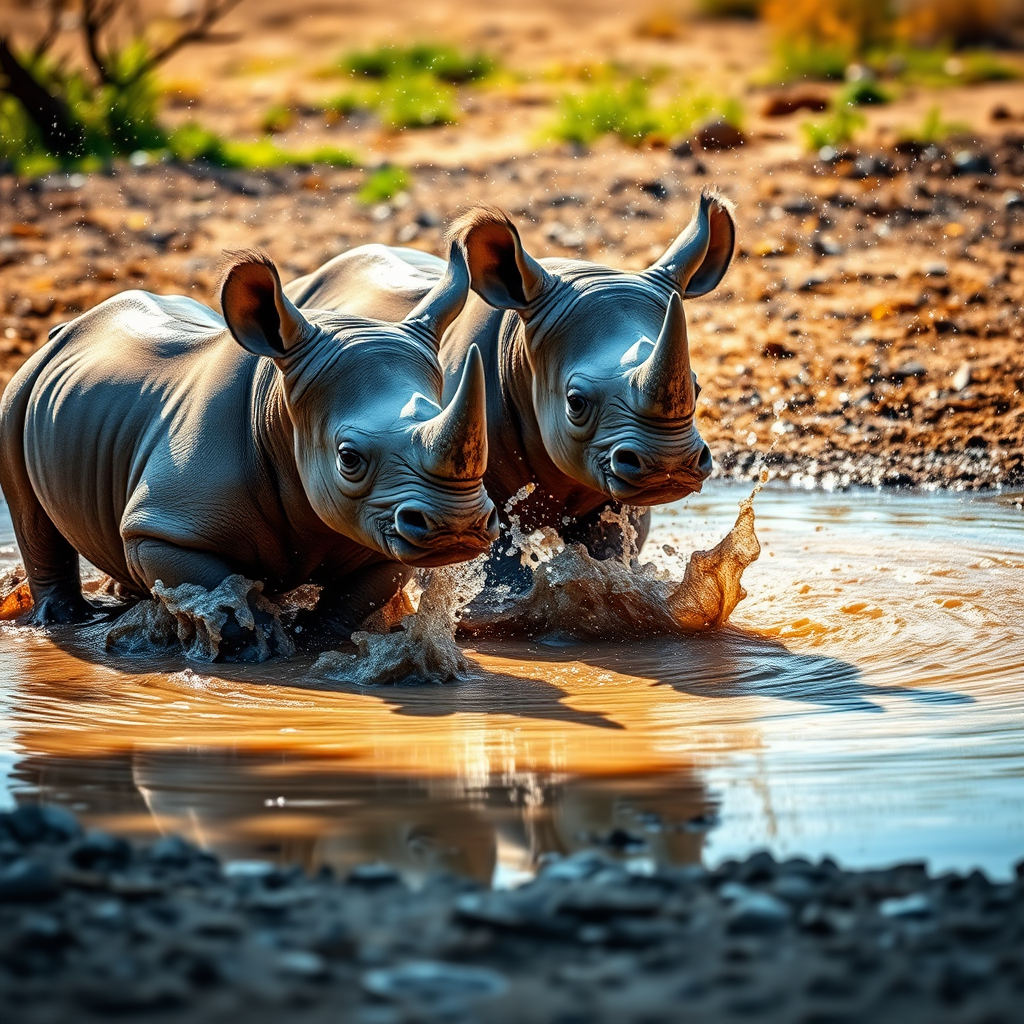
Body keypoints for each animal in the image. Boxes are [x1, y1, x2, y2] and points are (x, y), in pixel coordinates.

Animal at [0, 241, 498, 651]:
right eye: (349, 458)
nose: (456, 527)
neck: (281, 409)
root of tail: (68, 329)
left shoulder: (380, 526)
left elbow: (358, 595)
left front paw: (318, 639)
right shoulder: (162, 525)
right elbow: (219, 596)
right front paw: (260, 648)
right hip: (22, 387)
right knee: (28, 508)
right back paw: (68, 620)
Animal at [286, 191, 735, 588]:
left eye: (697, 388)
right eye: (575, 402)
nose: (668, 466)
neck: (521, 344)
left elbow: (610, 554)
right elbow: (500, 566)